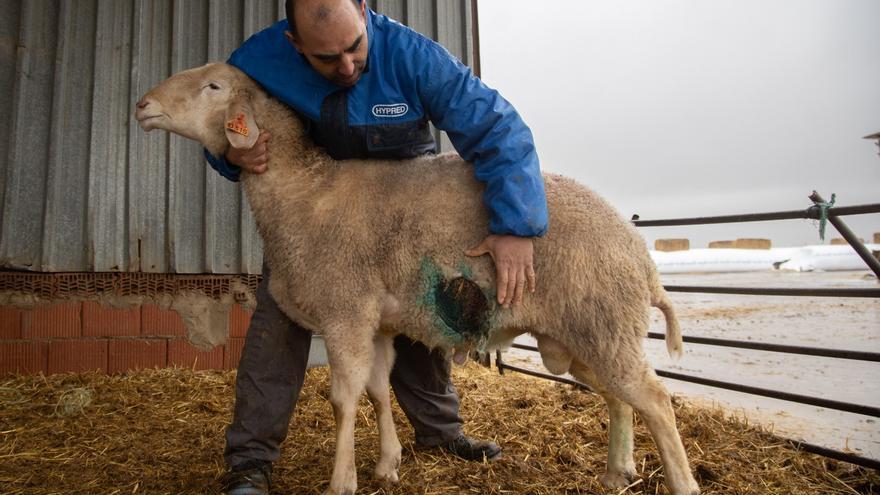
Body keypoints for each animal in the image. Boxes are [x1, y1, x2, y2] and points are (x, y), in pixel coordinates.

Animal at [136, 63, 700, 495]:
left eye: (214, 86)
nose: (142, 104)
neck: (303, 194)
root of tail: (642, 257)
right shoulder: (377, 323)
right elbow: (378, 391)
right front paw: (387, 465)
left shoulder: (345, 312)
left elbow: (343, 400)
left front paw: (342, 481)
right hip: (586, 334)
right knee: (618, 397)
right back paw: (616, 472)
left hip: (604, 322)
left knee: (655, 400)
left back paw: (680, 483)